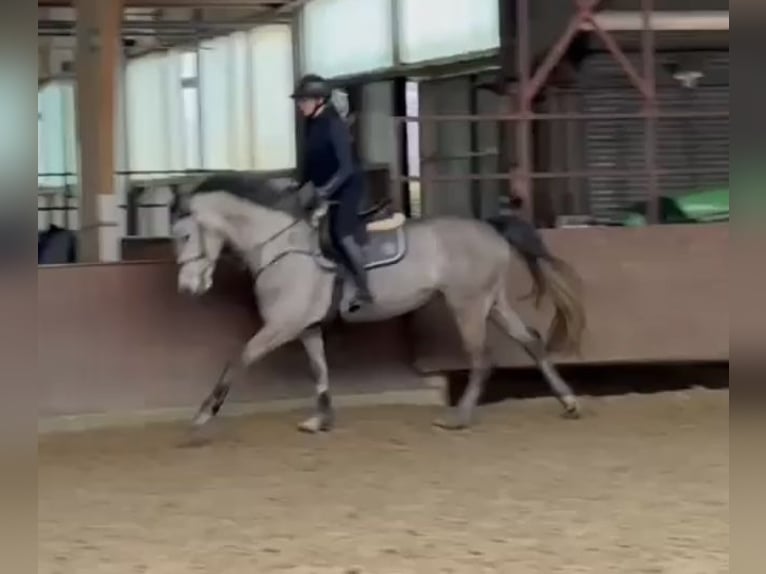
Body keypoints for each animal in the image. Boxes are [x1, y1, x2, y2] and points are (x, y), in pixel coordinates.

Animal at [171, 173, 584, 434]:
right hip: (492, 302)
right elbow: (319, 370)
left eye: (185, 234)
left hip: (467, 304)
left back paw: (458, 418)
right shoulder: (306, 327)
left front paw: (203, 415)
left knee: (482, 359)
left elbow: (237, 358)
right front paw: (320, 420)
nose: (187, 288)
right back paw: (568, 403)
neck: (280, 245)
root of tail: (489, 227)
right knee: (531, 341)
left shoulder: (282, 325)